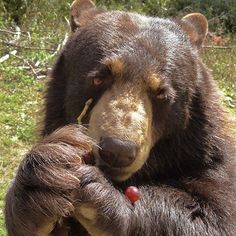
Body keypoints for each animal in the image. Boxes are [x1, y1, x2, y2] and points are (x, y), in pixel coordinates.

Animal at [4, 0, 236, 236]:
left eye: (162, 93)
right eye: (98, 78)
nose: (118, 150)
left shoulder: (208, 163)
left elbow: (209, 218)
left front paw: (103, 196)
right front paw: (44, 176)